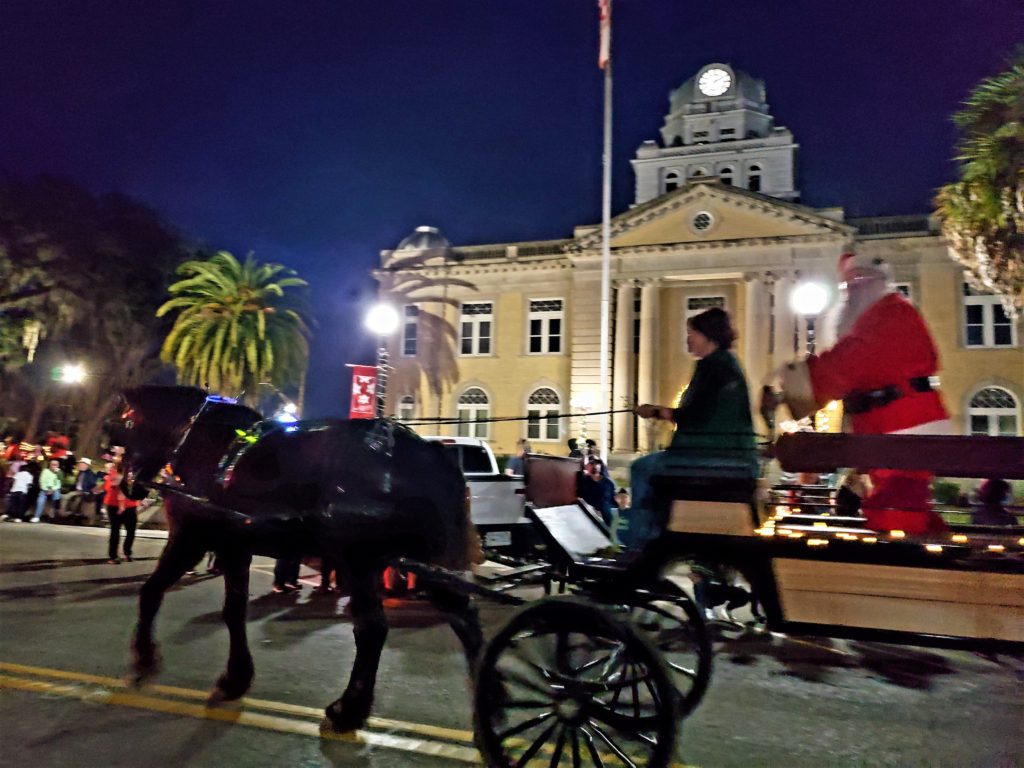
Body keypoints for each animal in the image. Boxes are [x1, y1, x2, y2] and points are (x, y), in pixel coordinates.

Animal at [120, 385, 483, 733]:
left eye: (126, 422)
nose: (128, 486)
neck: (204, 445)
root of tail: (434, 458)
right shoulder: (234, 547)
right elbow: (234, 611)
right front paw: (236, 677)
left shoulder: (190, 539)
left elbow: (151, 592)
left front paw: (145, 657)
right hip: (431, 567)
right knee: (467, 623)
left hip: (358, 561)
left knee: (372, 629)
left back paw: (348, 709)